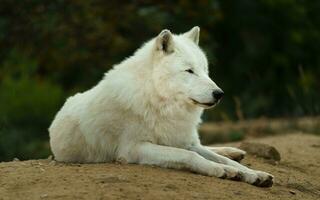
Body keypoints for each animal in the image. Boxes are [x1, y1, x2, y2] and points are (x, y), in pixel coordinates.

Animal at [49, 25, 272, 187]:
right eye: (189, 71)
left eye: (205, 70)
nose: (219, 94)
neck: (159, 101)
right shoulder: (134, 148)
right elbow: (190, 156)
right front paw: (223, 171)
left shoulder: (182, 140)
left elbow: (222, 160)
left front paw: (253, 174)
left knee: (209, 147)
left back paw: (234, 151)